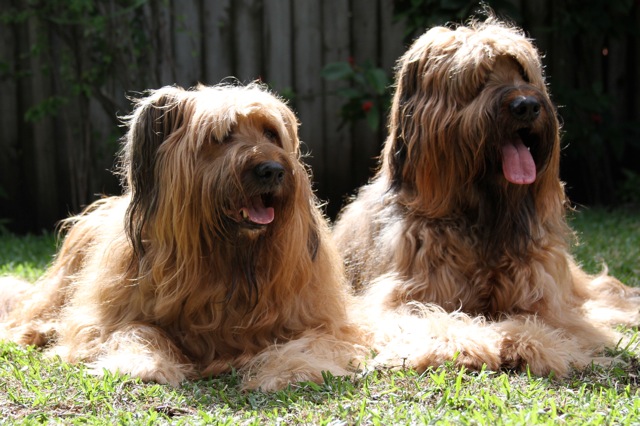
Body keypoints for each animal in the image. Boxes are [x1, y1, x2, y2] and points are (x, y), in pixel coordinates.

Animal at [0, 83, 368, 391]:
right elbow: (134, 332)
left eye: (271, 133)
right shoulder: (109, 319)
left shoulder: (323, 322)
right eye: (223, 136)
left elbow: (311, 341)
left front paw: (291, 371)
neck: (228, 259)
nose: (273, 171)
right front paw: (142, 364)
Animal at [333, 17, 640, 376]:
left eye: (523, 73)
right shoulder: (402, 296)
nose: (528, 106)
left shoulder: (550, 299)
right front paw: (465, 344)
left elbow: (546, 320)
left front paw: (523, 340)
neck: (482, 216)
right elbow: (429, 319)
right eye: (478, 78)